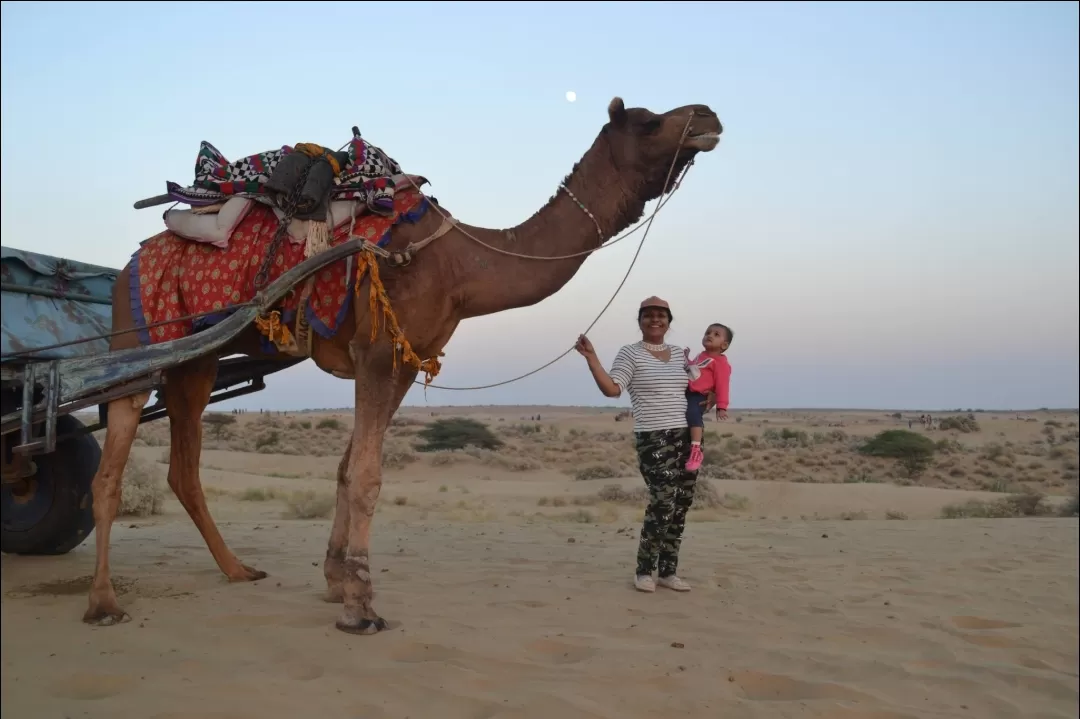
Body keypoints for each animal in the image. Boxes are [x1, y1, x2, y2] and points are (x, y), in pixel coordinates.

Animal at [86, 95, 725, 634]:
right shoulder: (378, 352)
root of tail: (129, 263)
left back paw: (238, 569)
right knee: (111, 467)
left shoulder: (404, 356)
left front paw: (338, 581)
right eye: (650, 122)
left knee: (183, 467)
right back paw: (104, 602)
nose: (708, 115)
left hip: (196, 360)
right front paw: (361, 608)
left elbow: (347, 470)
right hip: (141, 339)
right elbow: (368, 476)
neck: (464, 264)